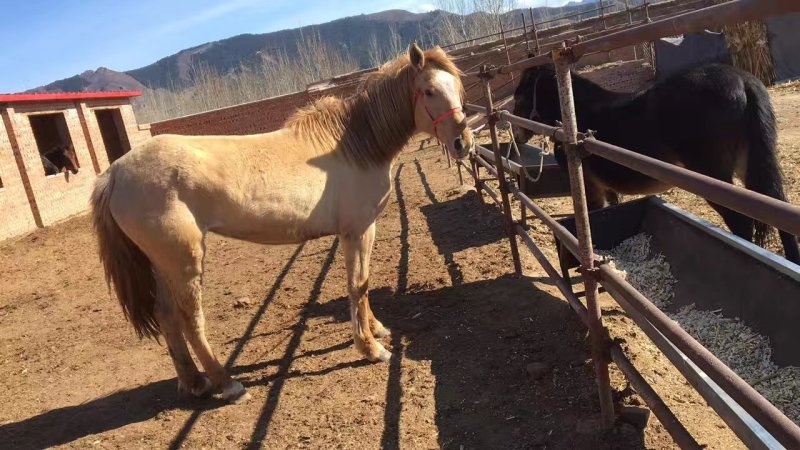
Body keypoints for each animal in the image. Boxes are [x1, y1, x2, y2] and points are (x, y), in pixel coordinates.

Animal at [91, 43, 473, 403]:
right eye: (428, 91)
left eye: (456, 86)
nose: (463, 144)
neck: (356, 145)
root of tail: (115, 172)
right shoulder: (357, 231)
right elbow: (357, 284)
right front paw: (370, 348)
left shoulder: (365, 230)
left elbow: (363, 285)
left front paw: (376, 330)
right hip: (184, 259)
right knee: (190, 319)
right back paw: (227, 384)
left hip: (161, 263)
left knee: (167, 316)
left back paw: (194, 382)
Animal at [512, 63, 800, 264]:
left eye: (520, 97)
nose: (516, 133)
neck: (575, 116)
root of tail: (742, 80)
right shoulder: (607, 187)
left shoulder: (589, 188)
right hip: (750, 168)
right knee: (778, 210)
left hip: (715, 179)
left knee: (742, 223)